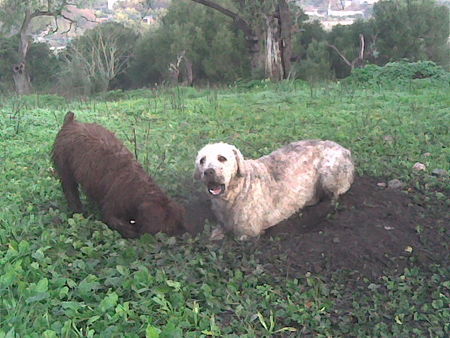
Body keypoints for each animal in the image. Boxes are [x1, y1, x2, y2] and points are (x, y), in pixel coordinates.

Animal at [51, 111, 185, 238]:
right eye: (164, 230)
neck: (139, 190)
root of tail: (70, 122)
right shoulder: (113, 205)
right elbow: (112, 219)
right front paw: (130, 231)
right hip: (64, 165)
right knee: (70, 189)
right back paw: (77, 210)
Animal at [193, 139, 356, 239]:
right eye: (202, 160)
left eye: (222, 158)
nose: (208, 172)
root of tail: (345, 149)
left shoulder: (248, 233)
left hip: (329, 173)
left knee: (334, 196)